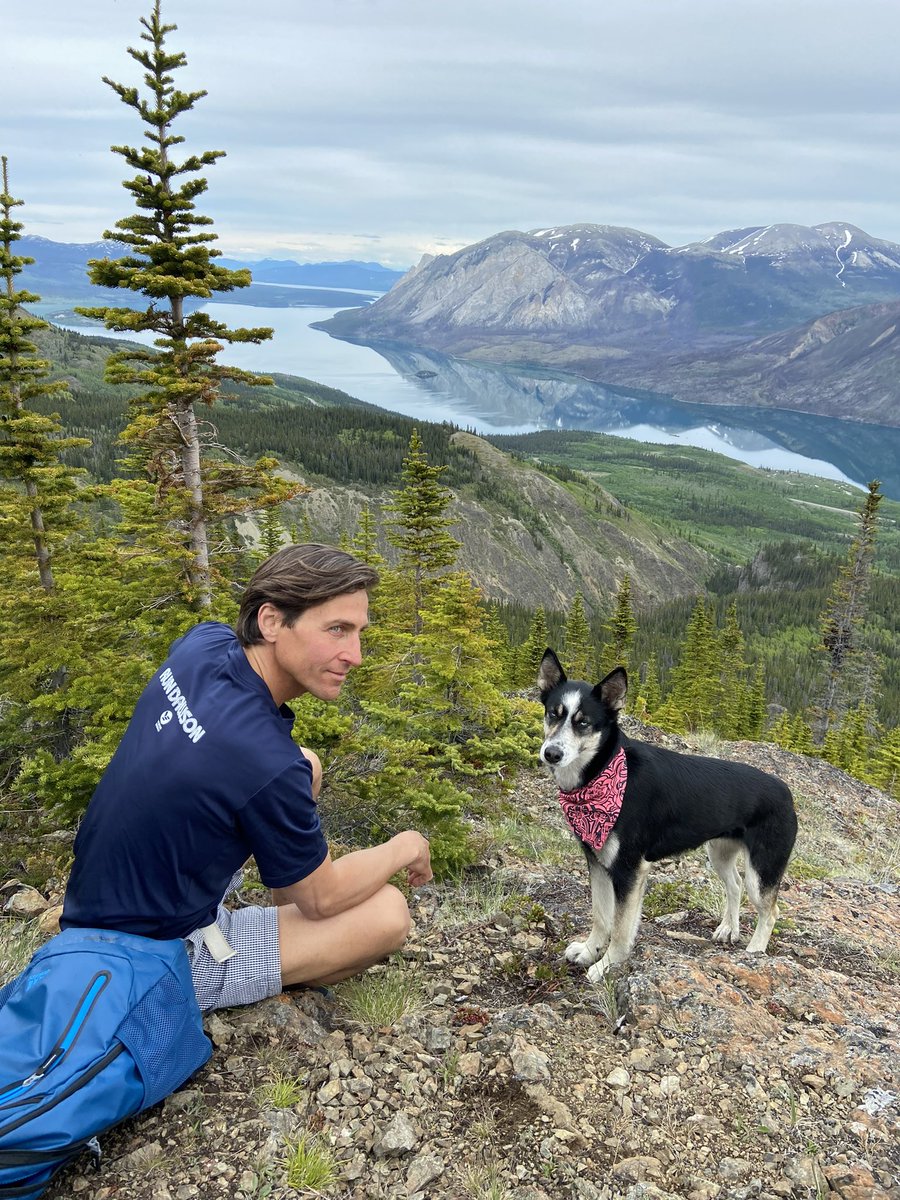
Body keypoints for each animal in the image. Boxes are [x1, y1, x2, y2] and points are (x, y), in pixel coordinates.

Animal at [535, 652, 796, 979]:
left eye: (583, 723)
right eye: (553, 714)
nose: (551, 753)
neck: (603, 772)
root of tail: (785, 790)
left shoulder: (630, 870)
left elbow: (620, 928)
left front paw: (607, 965)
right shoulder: (597, 862)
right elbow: (601, 916)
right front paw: (588, 951)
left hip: (763, 871)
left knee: (770, 911)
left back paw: (755, 951)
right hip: (720, 853)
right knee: (735, 885)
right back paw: (728, 929)